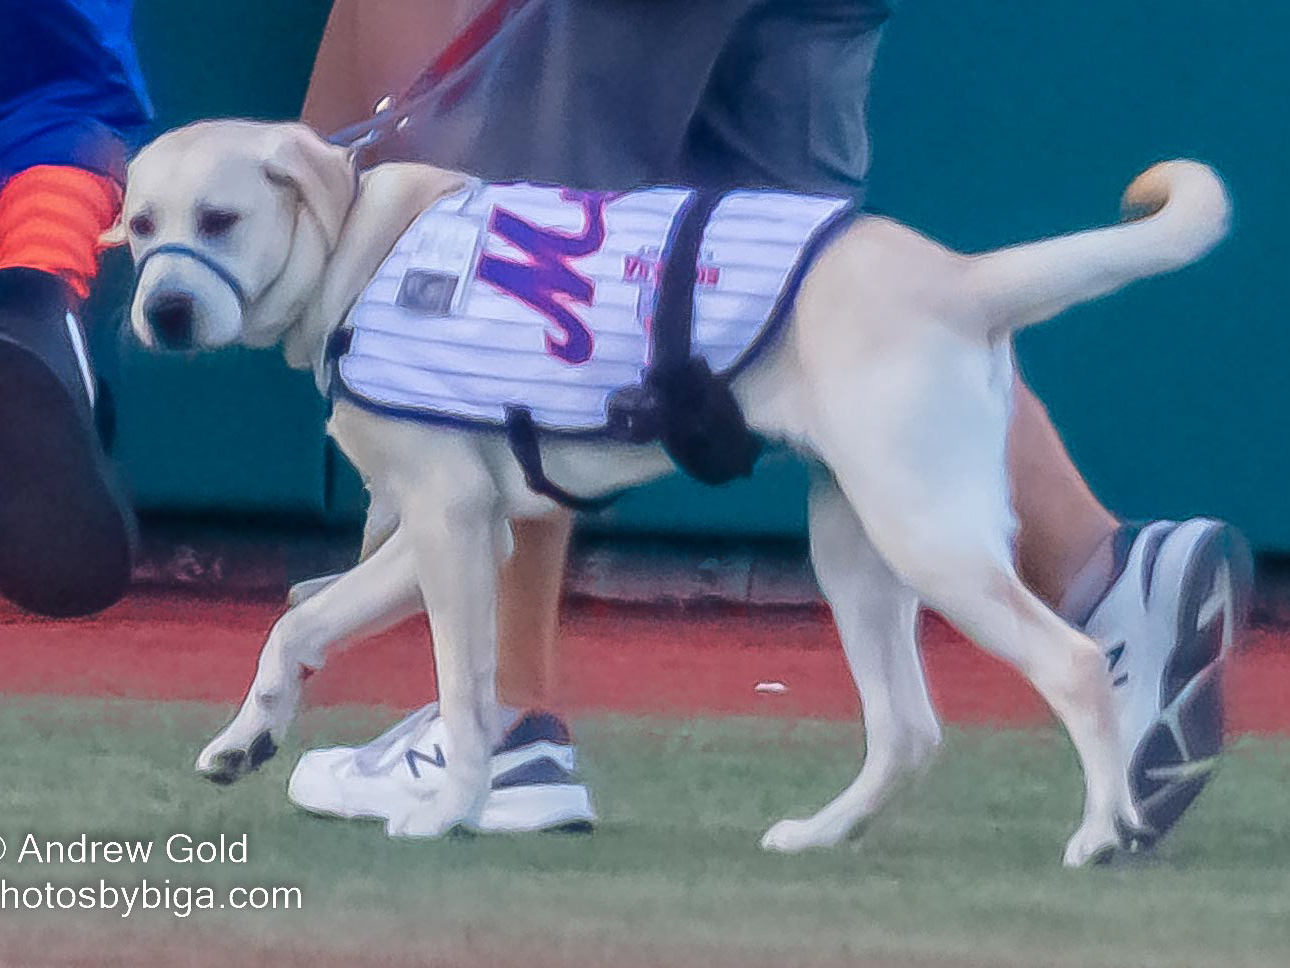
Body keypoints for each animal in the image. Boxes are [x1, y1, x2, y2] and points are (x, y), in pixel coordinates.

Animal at [118, 117, 1228, 867]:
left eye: (220, 220)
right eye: (137, 226)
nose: (162, 312)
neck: (359, 246)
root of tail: (962, 278)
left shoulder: (451, 523)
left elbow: (465, 693)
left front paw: (449, 809)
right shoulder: (457, 531)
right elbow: (298, 624)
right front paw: (246, 737)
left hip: (927, 539)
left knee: (1074, 662)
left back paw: (1103, 831)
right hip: (857, 555)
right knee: (909, 730)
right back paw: (821, 833)